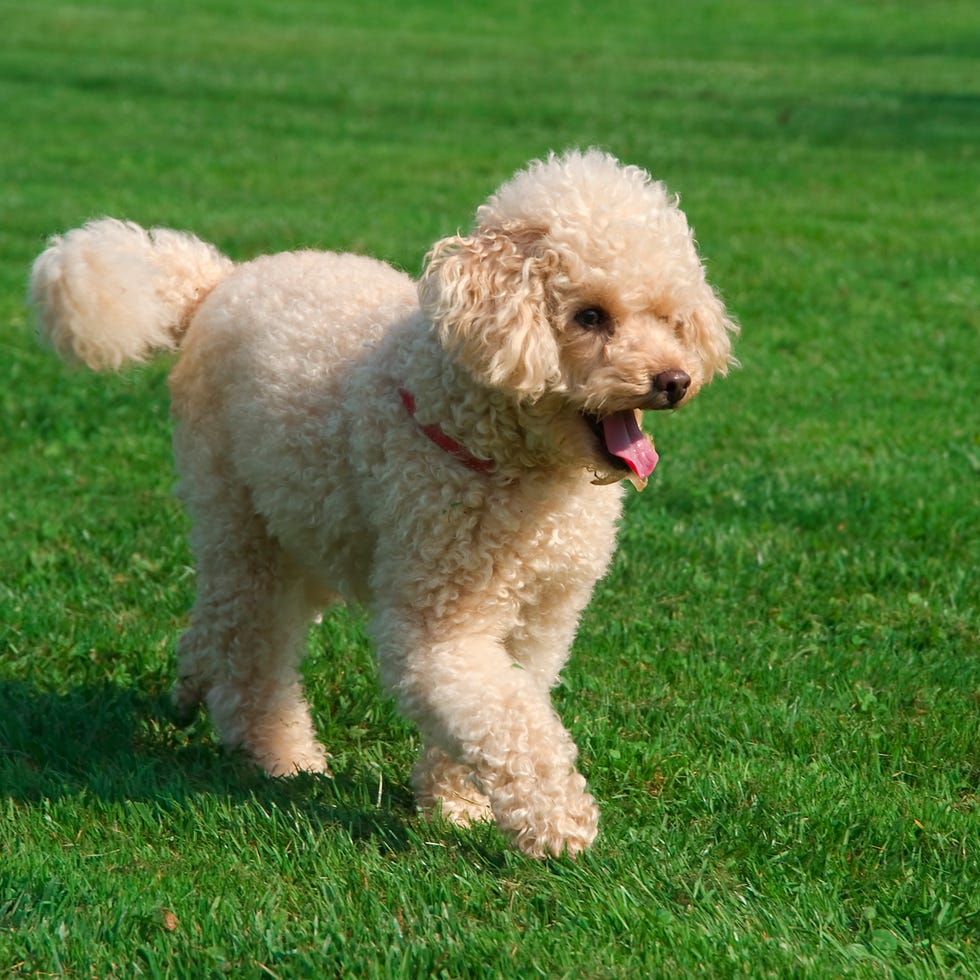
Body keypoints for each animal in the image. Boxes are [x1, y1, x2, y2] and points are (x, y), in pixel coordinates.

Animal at [30, 151, 736, 856]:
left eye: (668, 316)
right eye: (590, 316)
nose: (675, 381)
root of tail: (220, 282)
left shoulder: (543, 618)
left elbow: (505, 707)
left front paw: (456, 806)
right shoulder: (439, 624)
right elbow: (505, 718)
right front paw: (558, 824)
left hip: (308, 520)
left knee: (232, 625)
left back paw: (193, 682)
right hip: (237, 516)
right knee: (250, 641)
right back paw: (279, 753)